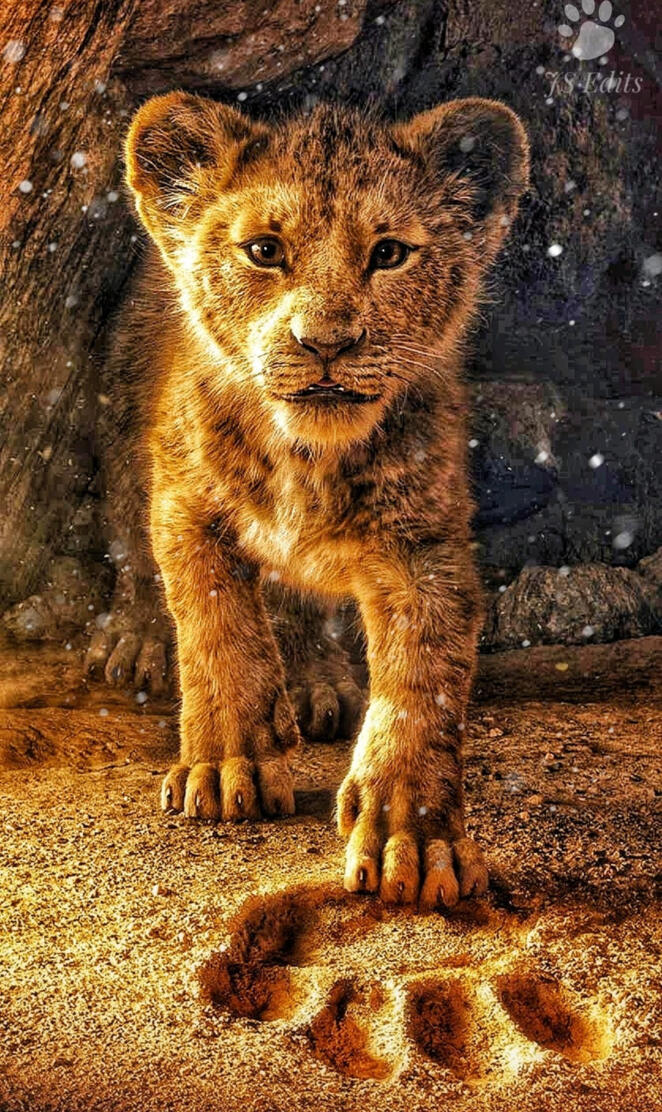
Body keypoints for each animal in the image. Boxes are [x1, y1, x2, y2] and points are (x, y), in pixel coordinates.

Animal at [91, 92, 528, 909]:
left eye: (389, 254)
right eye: (264, 250)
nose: (326, 342)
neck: (307, 458)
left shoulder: (424, 545)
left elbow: (424, 680)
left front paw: (413, 839)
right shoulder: (184, 502)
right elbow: (217, 629)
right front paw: (225, 765)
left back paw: (319, 683)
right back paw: (136, 642)